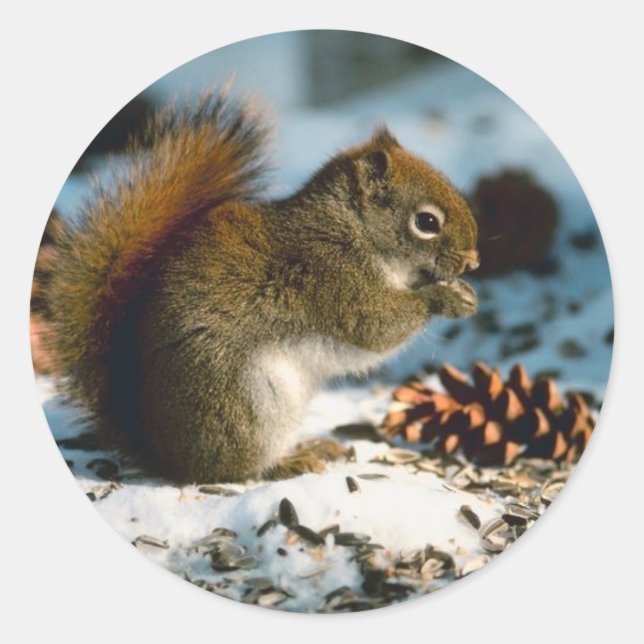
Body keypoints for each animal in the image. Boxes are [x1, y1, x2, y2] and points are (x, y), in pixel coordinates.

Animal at [37, 88, 479, 483]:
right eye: (426, 222)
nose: (473, 262)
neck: (352, 231)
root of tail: (159, 450)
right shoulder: (333, 278)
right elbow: (377, 326)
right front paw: (446, 297)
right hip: (243, 403)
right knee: (232, 469)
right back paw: (287, 463)